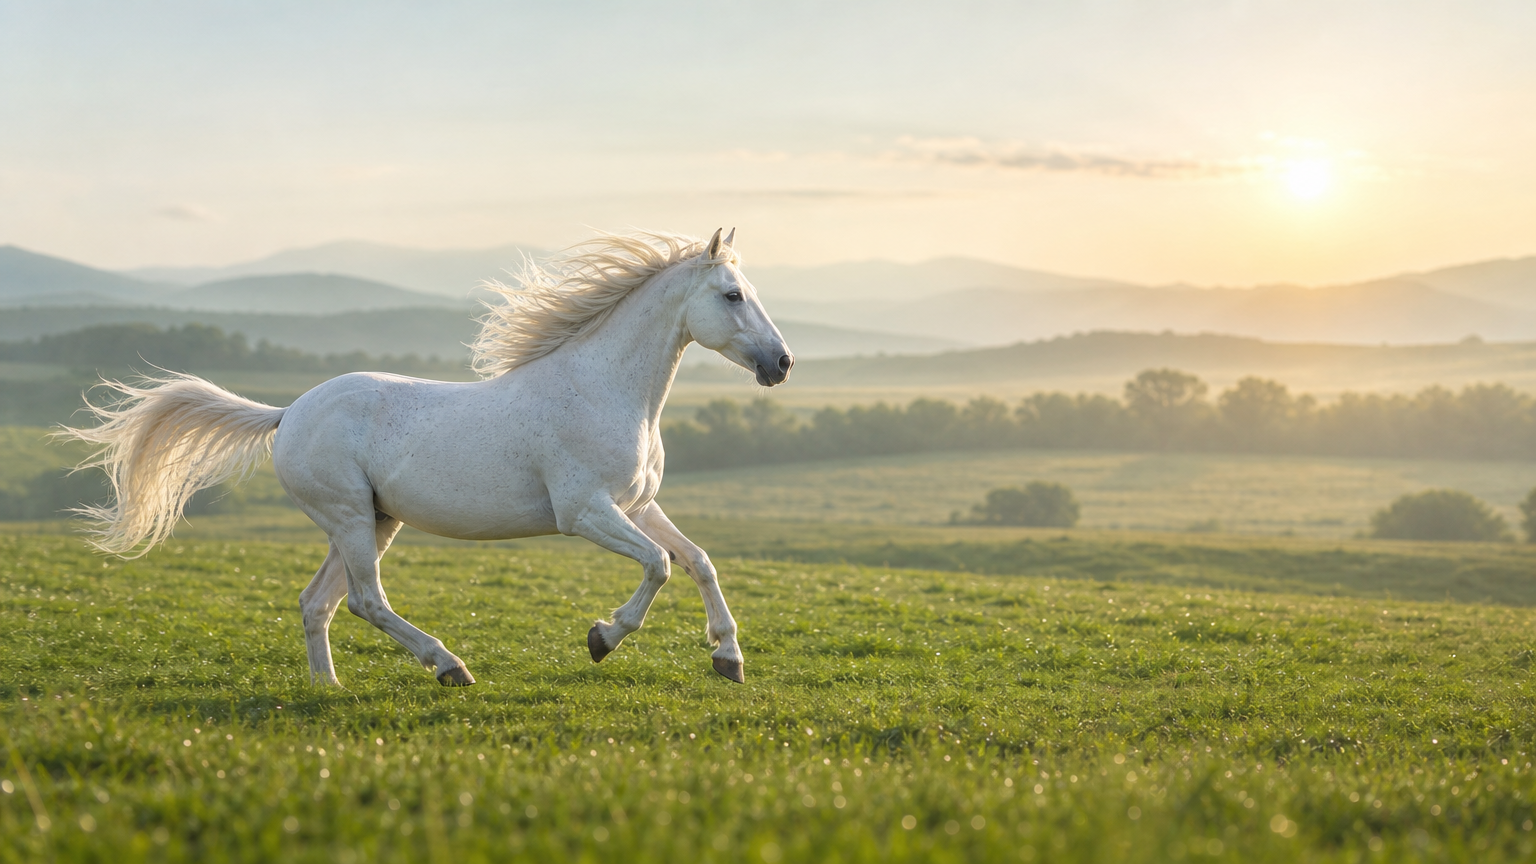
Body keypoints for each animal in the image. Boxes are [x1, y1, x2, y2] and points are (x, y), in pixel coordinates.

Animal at [59, 228, 793, 687]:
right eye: (732, 296)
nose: (781, 364)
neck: (604, 390)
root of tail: (287, 413)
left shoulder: (638, 503)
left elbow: (697, 561)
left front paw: (729, 659)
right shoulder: (585, 512)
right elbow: (658, 567)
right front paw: (601, 638)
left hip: (372, 521)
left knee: (316, 602)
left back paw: (328, 688)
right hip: (352, 518)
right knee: (364, 600)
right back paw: (449, 666)